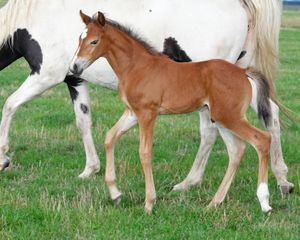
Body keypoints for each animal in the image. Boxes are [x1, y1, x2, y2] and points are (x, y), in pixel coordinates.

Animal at [0, 0, 292, 193]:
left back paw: (189, 182)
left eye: (92, 41)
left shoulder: (46, 75)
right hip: (242, 77)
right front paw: (90, 169)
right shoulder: (75, 78)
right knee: (270, 114)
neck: (33, 19)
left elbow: (9, 105)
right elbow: (83, 122)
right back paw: (282, 179)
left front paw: (3, 158)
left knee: (211, 132)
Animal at [69, 10, 278, 214]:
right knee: (237, 150)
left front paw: (149, 203)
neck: (137, 67)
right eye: (79, 39)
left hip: (229, 117)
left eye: (94, 41)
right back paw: (214, 203)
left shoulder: (147, 113)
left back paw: (264, 202)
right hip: (220, 118)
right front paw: (115, 194)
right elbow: (110, 138)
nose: (74, 67)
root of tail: (243, 73)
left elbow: (145, 152)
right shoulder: (132, 113)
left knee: (262, 140)